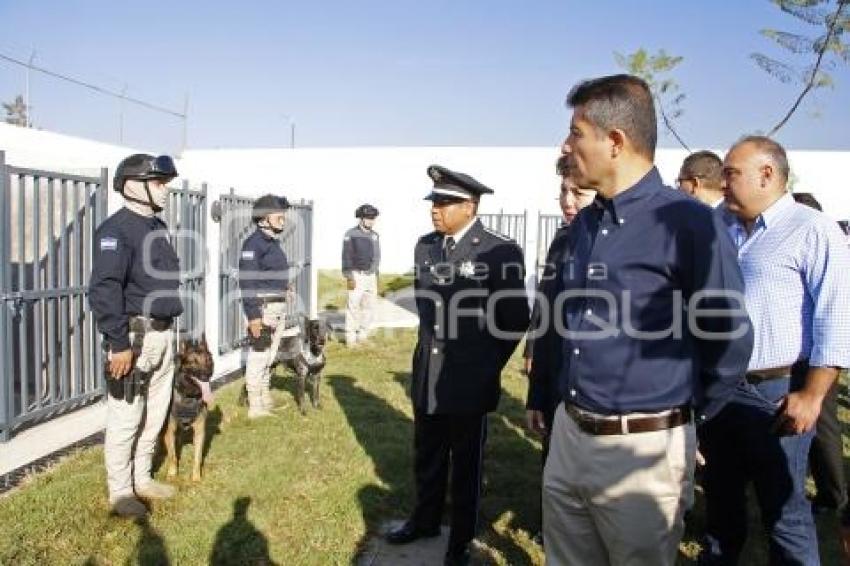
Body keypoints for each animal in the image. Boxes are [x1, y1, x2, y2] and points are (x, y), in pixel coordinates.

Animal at [163, 338, 214, 484]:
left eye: (208, 360)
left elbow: (197, 457)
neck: (188, 395)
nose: (206, 375)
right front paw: (172, 474)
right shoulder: (169, 431)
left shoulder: (200, 431)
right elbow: (172, 456)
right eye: (193, 361)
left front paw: (196, 478)